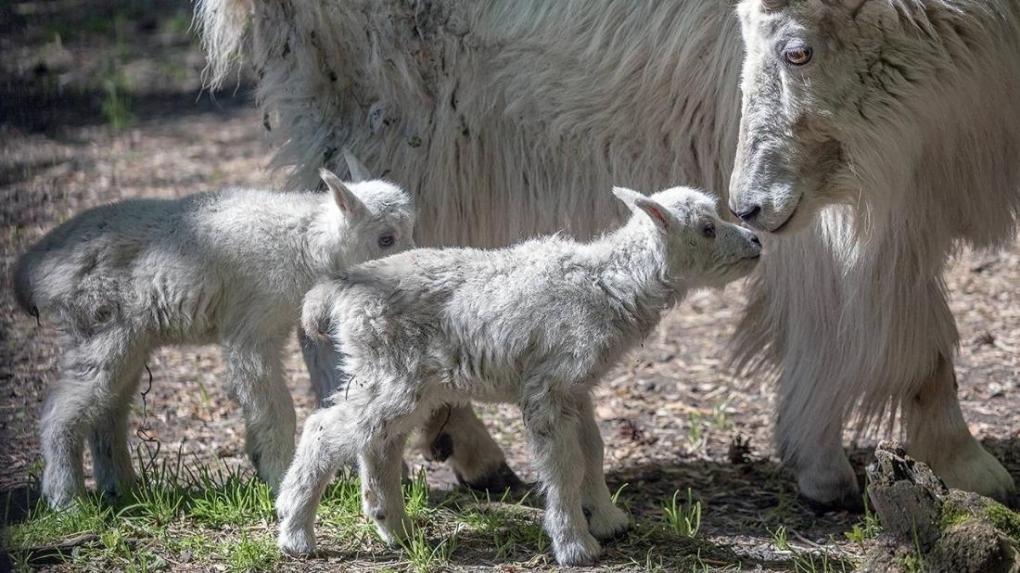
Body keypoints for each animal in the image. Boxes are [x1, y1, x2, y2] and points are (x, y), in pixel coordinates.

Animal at [198, 0, 1020, 503]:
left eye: (796, 50)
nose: (748, 205)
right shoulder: (863, 197)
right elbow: (907, 328)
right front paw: (961, 470)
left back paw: (467, 451)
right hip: (384, 118)